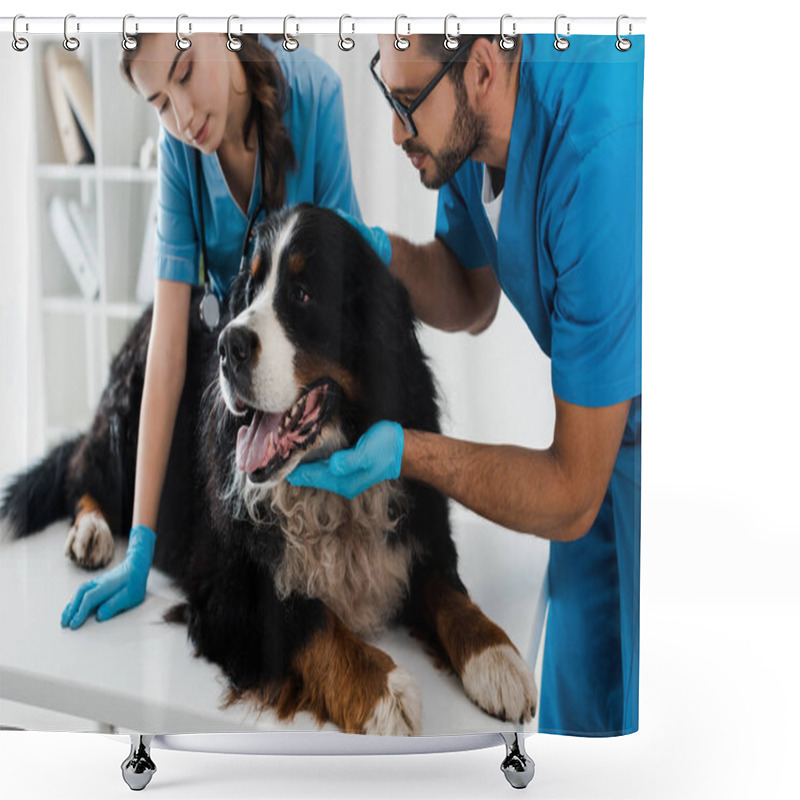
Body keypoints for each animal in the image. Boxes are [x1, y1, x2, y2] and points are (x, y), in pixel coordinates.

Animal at [1, 203, 536, 736]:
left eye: (303, 294)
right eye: (249, 292)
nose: (227, 345)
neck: (325, 494)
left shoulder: (418, 528)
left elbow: (449, 592)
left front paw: (498, 659)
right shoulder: (227, 587)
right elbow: (309, 619)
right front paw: (385, 691)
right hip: (135, 412)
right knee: (85, 469)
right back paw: (91, 531)